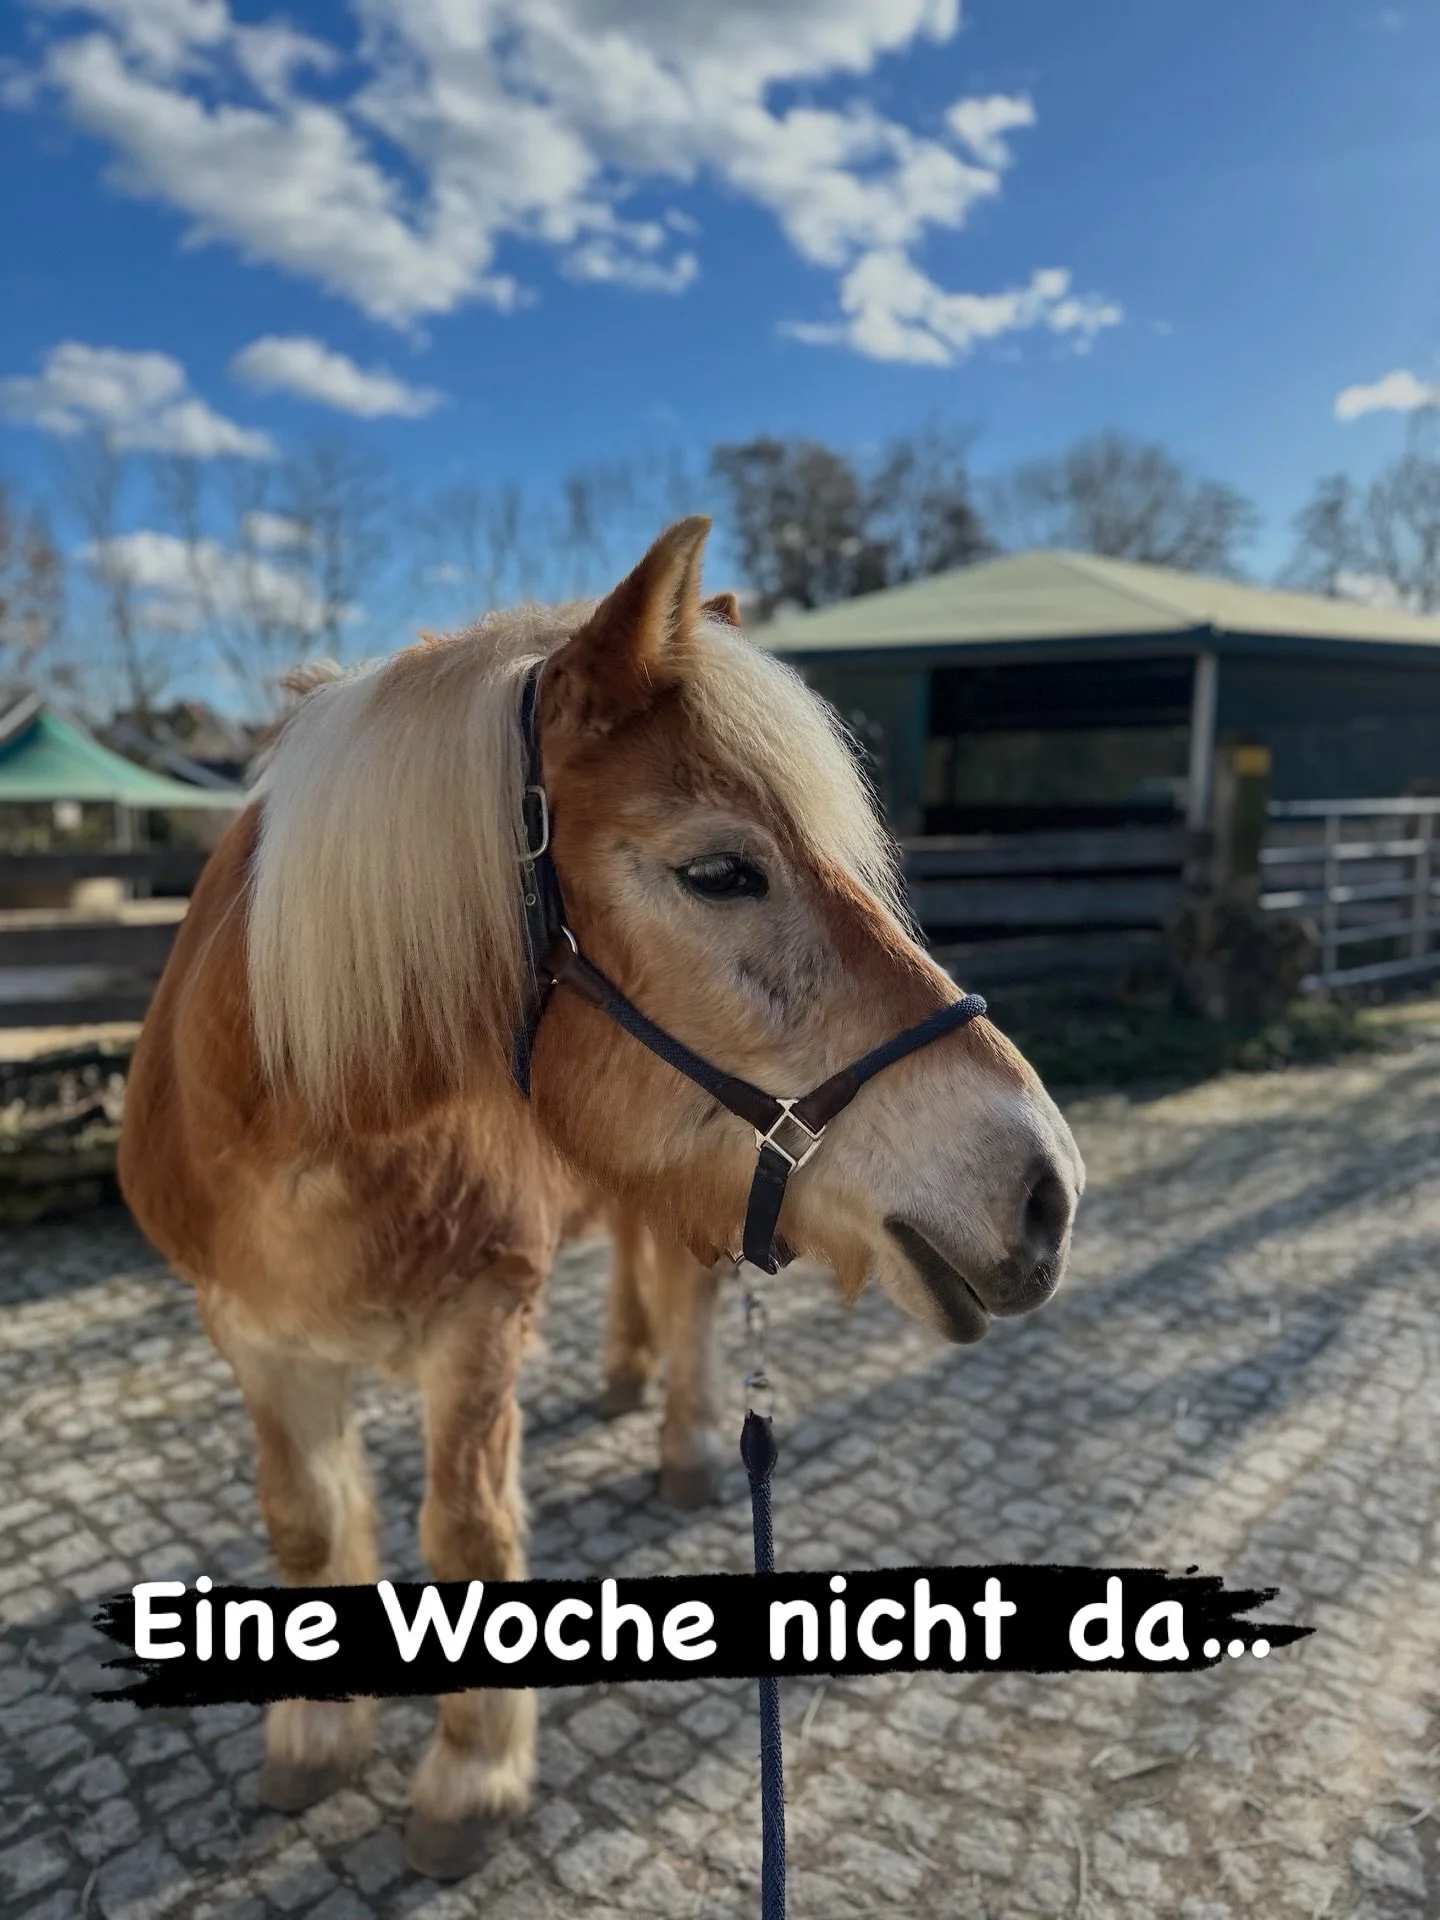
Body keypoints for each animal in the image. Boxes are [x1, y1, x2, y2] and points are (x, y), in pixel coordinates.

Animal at [118, 515, 1085, 1880]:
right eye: (721, 871)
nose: (1047, 1188)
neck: (298, 1124)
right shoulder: (254, 1339)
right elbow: (305, 1526)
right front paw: (313, 1735)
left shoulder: (477, 1330)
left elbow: (467, 1538)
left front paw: (472, 1777)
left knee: (692, 1298)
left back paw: (686, 1440)